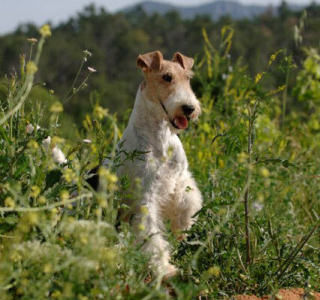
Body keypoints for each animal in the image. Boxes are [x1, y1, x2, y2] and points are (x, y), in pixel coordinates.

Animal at [112, 51, 202, 278]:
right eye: (166, 77)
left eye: (188, 77)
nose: (189, 108)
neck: (160, 136)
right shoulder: (147, 195)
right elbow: (152, 237)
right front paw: (165, 268)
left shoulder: (181, 179)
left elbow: (188, 203)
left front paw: (183, 230)